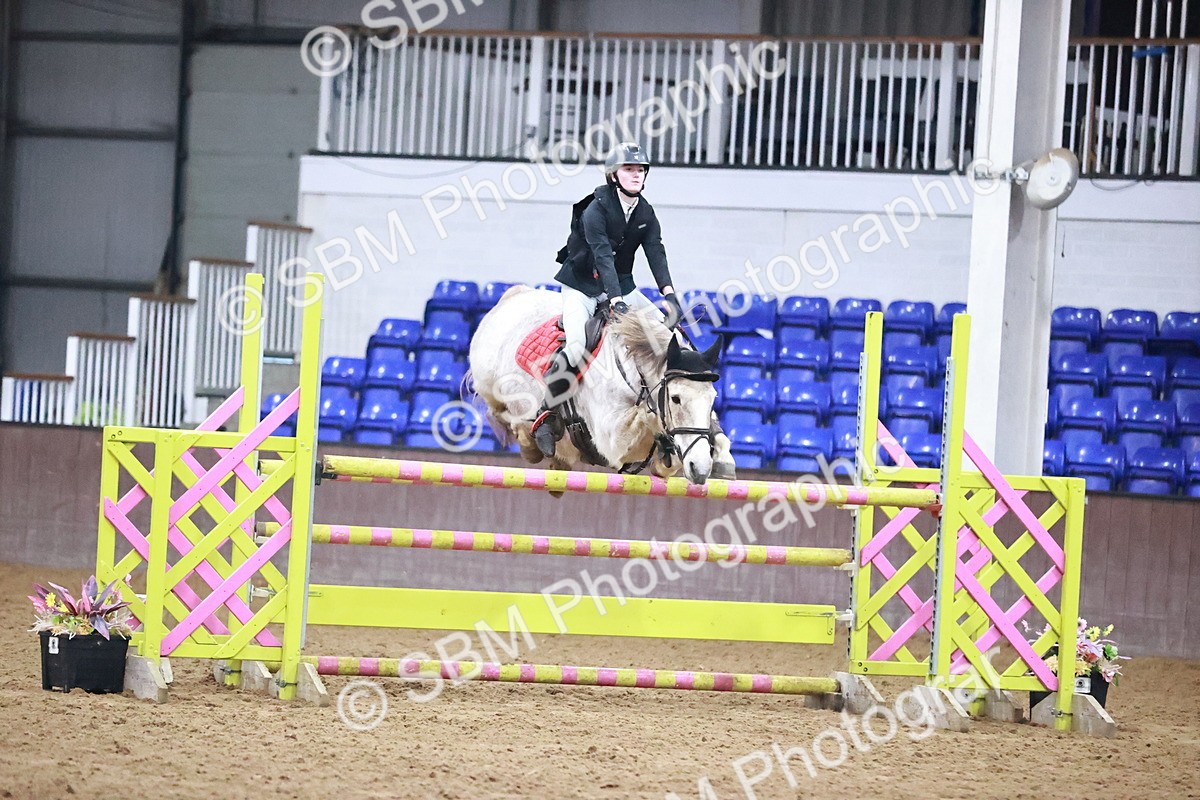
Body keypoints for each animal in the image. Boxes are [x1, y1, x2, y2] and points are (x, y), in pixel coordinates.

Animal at [468, 286, 737, 485]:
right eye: (676, 399)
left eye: (712, 399)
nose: (700, 469)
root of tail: (513, 295)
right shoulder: (614, 443)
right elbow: (643, 417)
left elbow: (713, 439)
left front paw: (721, 461)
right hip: (489, 384)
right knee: (501, 414)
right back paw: (534, 440)